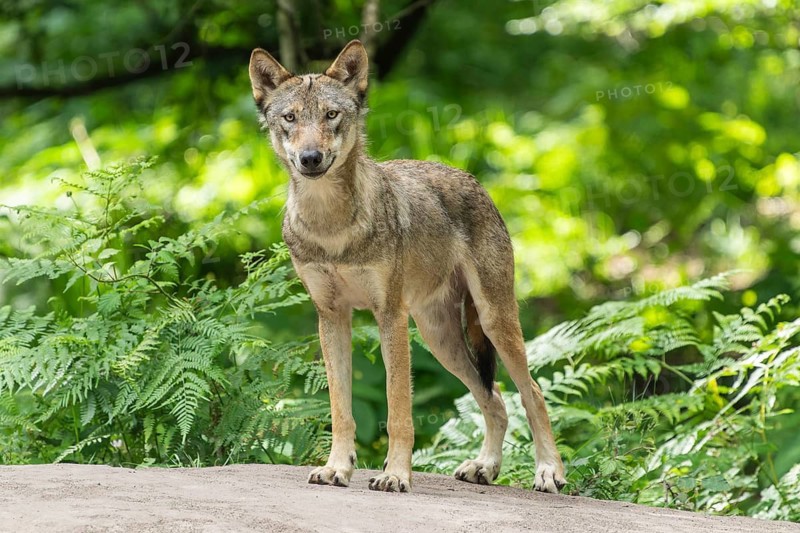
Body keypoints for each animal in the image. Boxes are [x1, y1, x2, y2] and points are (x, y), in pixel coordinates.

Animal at [248, 39, 566, 493]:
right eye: (290, 118)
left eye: (332, 115)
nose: (310, 158)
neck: (332, 227)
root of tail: (474, 180)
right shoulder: (331, 318)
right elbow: (340, 408)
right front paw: (336, 468)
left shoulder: (390, 316)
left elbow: (398, 407)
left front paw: (396, 474)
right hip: (440, 339)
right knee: (494, 398)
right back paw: (484, 468)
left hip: (492, 322)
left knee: (531, 391)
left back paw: (548, 472)